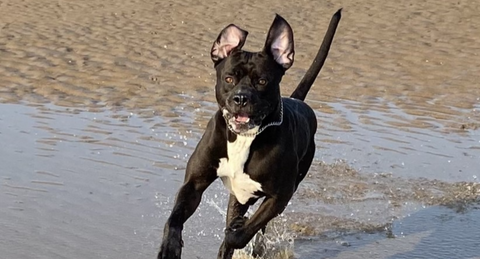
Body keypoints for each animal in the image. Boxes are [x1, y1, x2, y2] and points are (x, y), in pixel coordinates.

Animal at [158, 8, 342, 259]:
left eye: (262, 81)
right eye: (229, 78)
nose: (241, 98)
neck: (244, 139)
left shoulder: (279, 197)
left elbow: (243, 232)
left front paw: (238, 231)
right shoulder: (194, 184)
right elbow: (174, 218)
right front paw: (169, 247)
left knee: (257, 228)